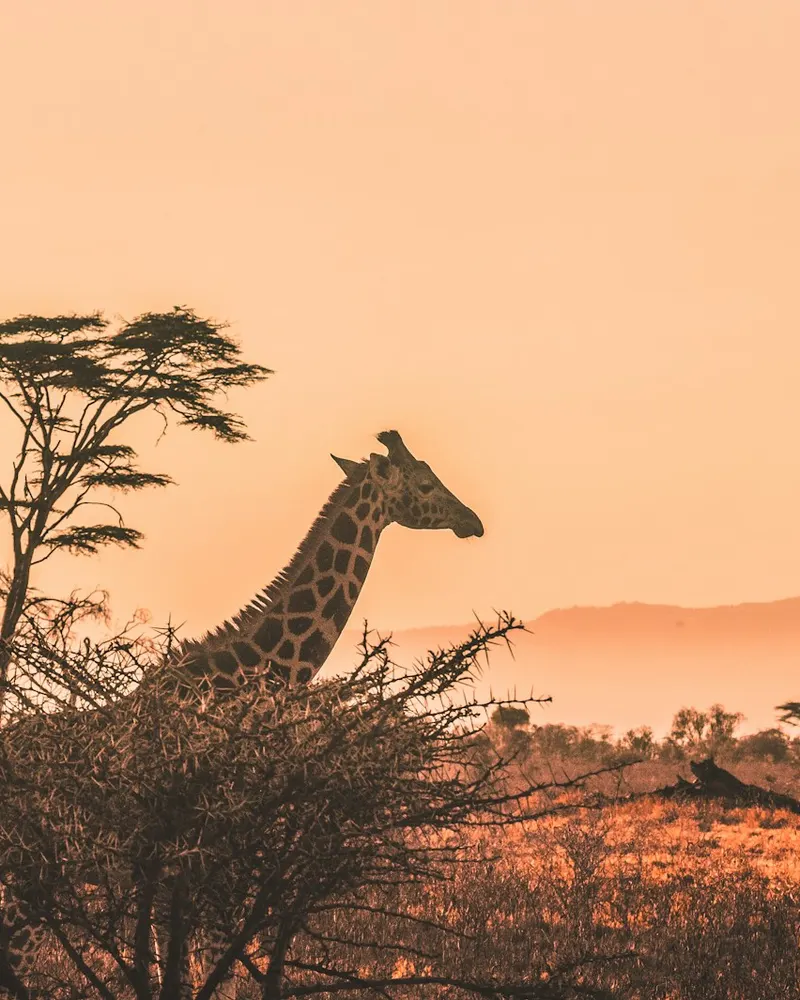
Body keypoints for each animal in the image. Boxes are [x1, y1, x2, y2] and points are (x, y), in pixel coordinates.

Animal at [0, 429, 484, 997]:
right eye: (425, 483)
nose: (473, 520)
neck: (241, 682)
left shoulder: (179, 880)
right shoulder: (210, 870)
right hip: (32, 877)